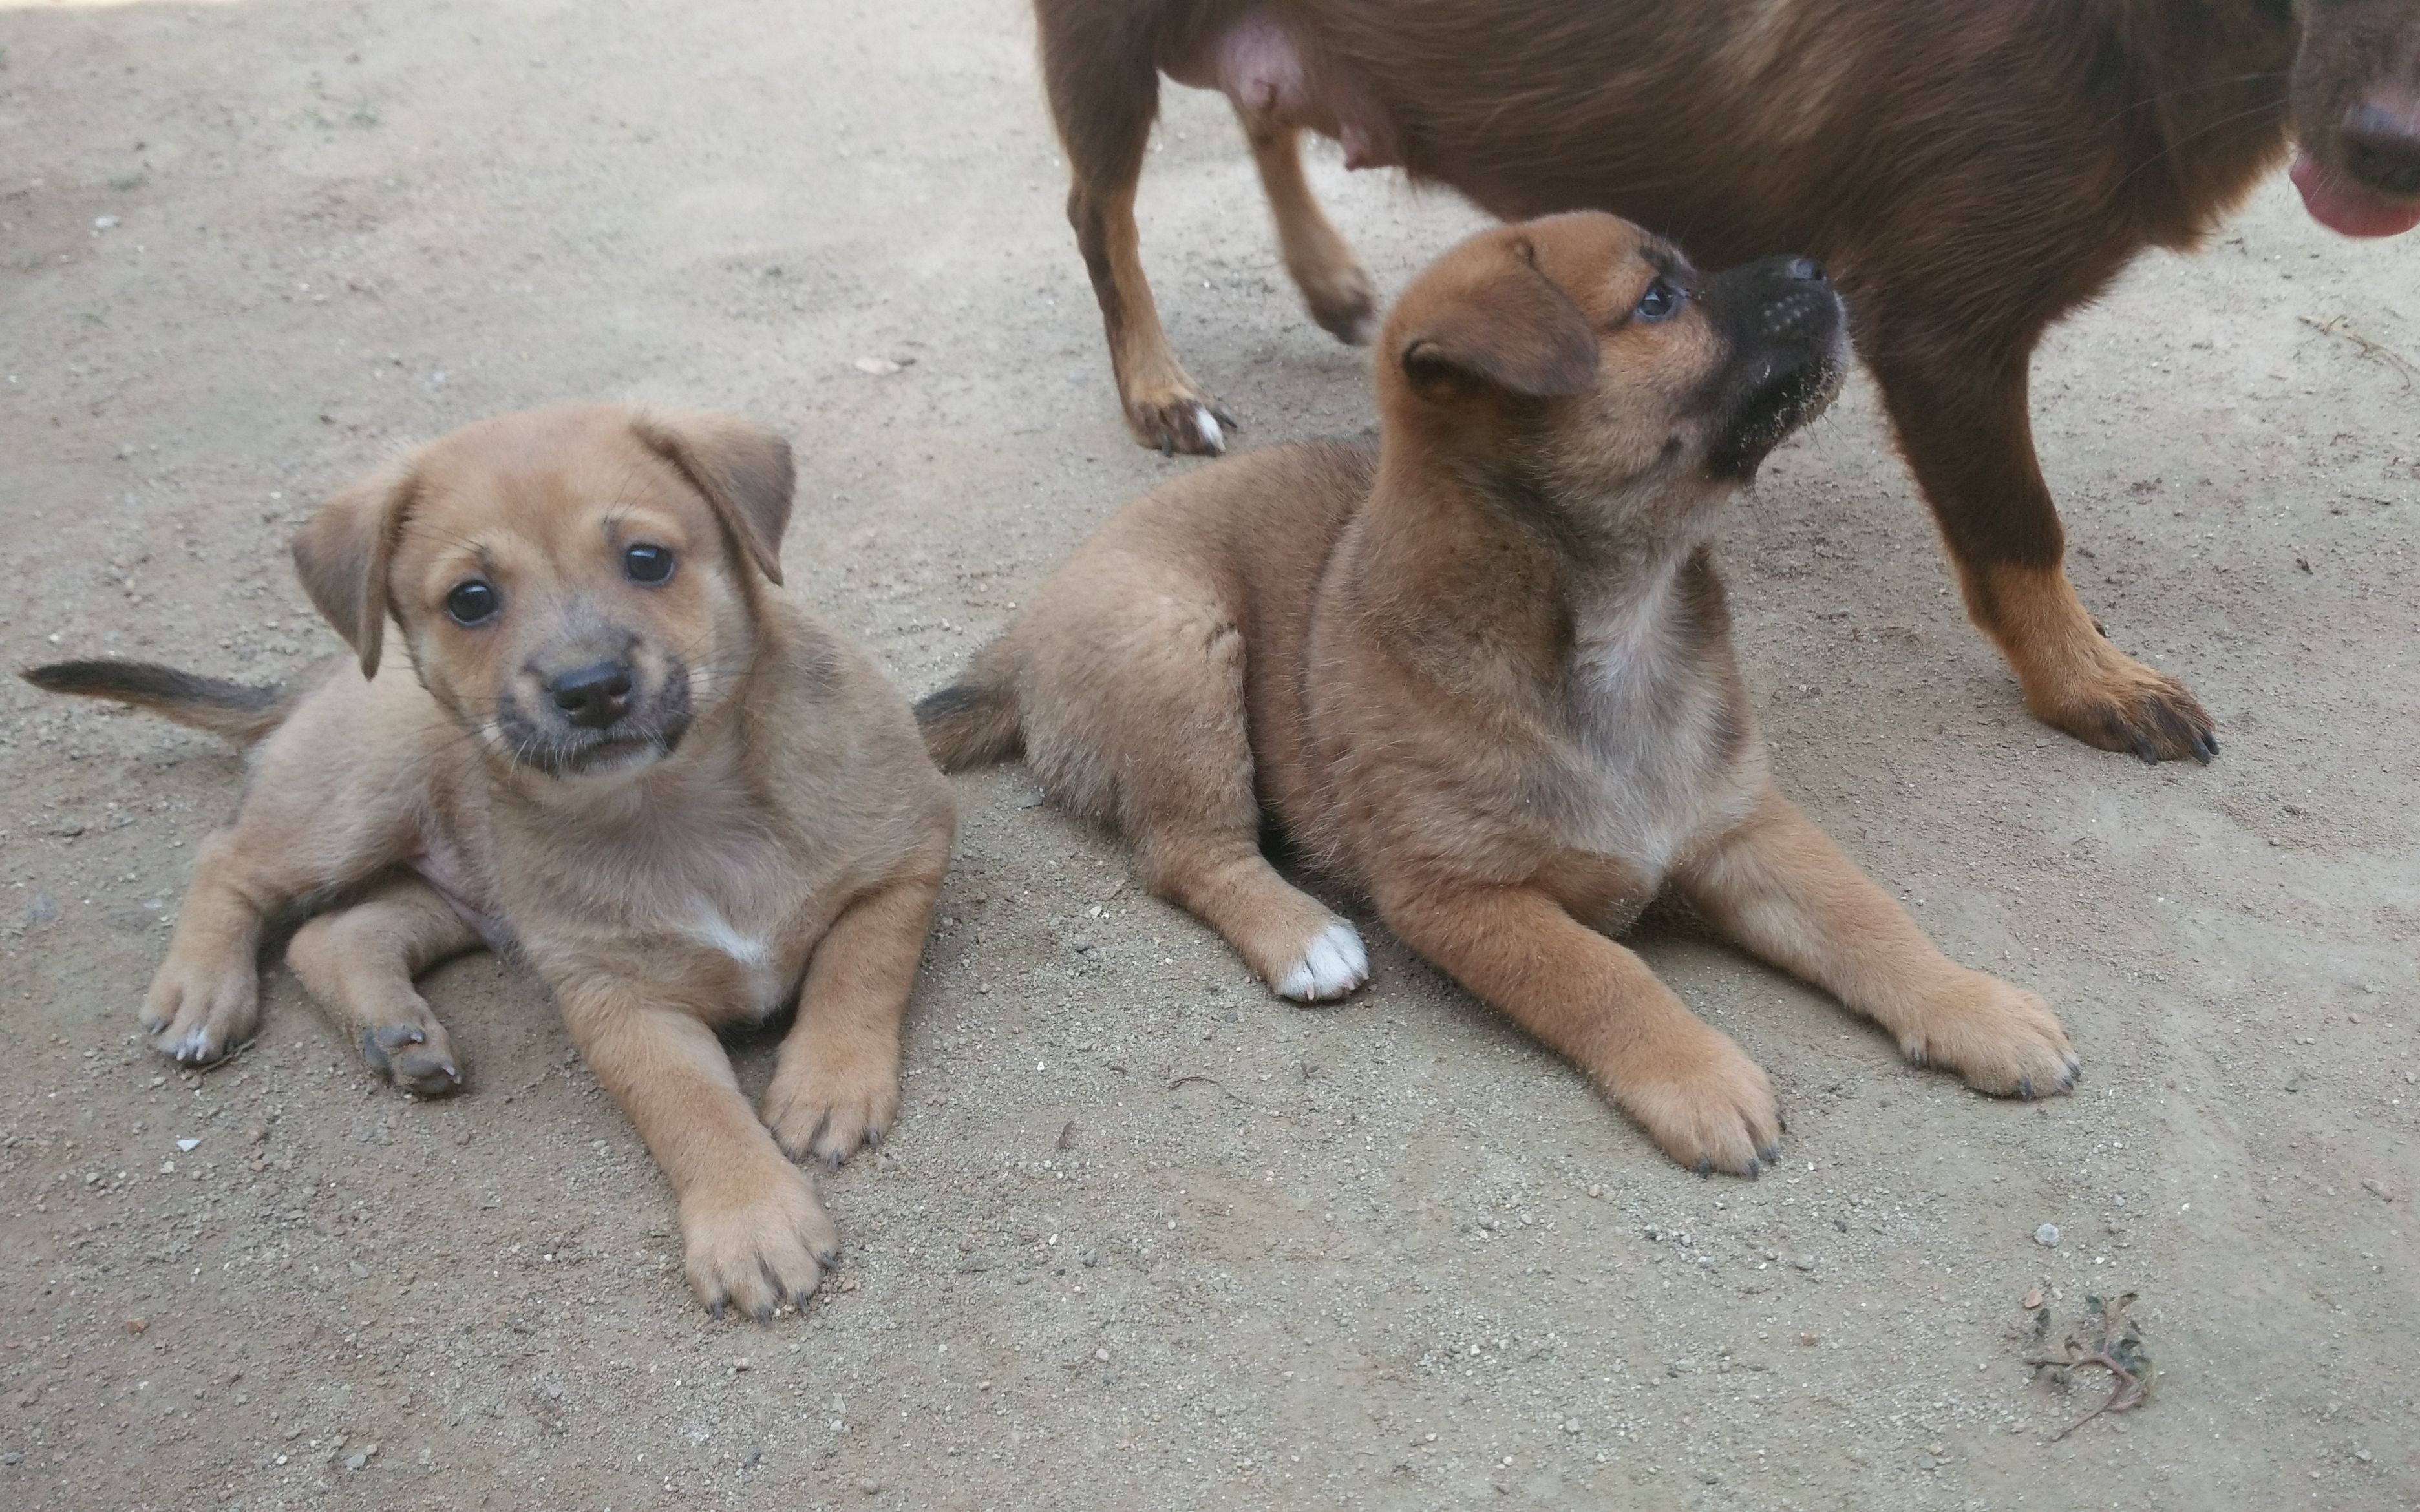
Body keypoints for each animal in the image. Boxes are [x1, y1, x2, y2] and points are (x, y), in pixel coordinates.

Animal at [28, 406, 958, 1316]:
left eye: (647, 559)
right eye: (471, 600)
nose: (590, 688)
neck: (677, 808)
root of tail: (321, 677)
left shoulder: (904, 859)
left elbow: (859, 965)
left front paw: (828, 1087)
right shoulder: (613, 999)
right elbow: (688, 1107)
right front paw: (750, 1221)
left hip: (466, 887)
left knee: (333, 931)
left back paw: (395, 1032)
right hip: (360, 805)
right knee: (230, 859)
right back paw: (201, 991)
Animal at [915, 215, 2071, 1181]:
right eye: (1659, 300)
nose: (1820, 267)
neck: (1617, 631)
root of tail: (1029, 629)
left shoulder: (1745, 827)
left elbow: (1868, 921)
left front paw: (1972, 1007)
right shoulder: (1464, 896)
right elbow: (1606, 977)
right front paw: (1697, 1076)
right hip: (1183, 644)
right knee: (1185, 852)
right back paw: (1303, 936)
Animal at [1030, 0, 2420, 759]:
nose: (2388, 152)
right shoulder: (1940, 331)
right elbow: (2019, 530)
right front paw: (2087, 680)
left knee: (1265, 108)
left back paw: (1325, 275)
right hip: (1103, 41)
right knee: (1099, 210)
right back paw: (1157, 383)